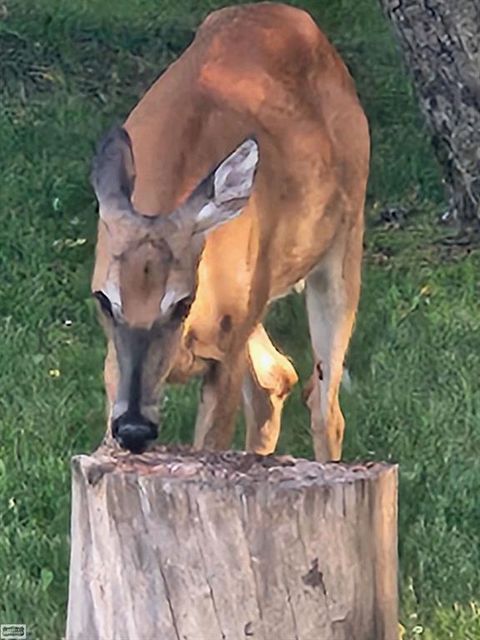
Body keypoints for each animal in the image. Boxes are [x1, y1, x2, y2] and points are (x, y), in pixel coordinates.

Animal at [90, 0, 370, 460]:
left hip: (344, 242)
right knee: (277, 379)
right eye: (103, 300)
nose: (134, 428)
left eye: (182, 303)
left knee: (324, 406)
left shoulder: (228, 353)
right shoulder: (115, 361)